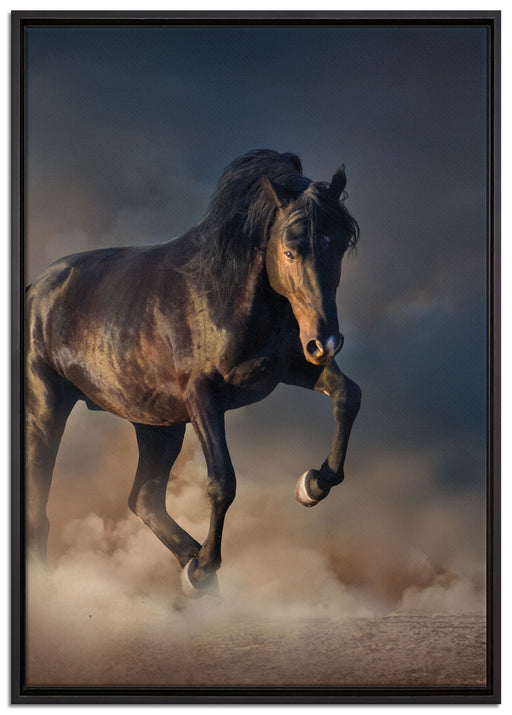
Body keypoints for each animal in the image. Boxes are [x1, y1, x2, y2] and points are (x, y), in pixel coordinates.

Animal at [25, 149, 361, 599]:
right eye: (290, 251)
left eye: (340, 244)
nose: (326, 342)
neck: (226, 294)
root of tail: (36, 289)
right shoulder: (203, 397)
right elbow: (222, 482)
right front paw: (204, 567)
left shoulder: (292, 368)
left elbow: (348, 395)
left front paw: (312, 485)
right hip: (46, 411)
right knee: (41, 507)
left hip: (158, 425)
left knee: (144, 498)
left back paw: (194, 567)